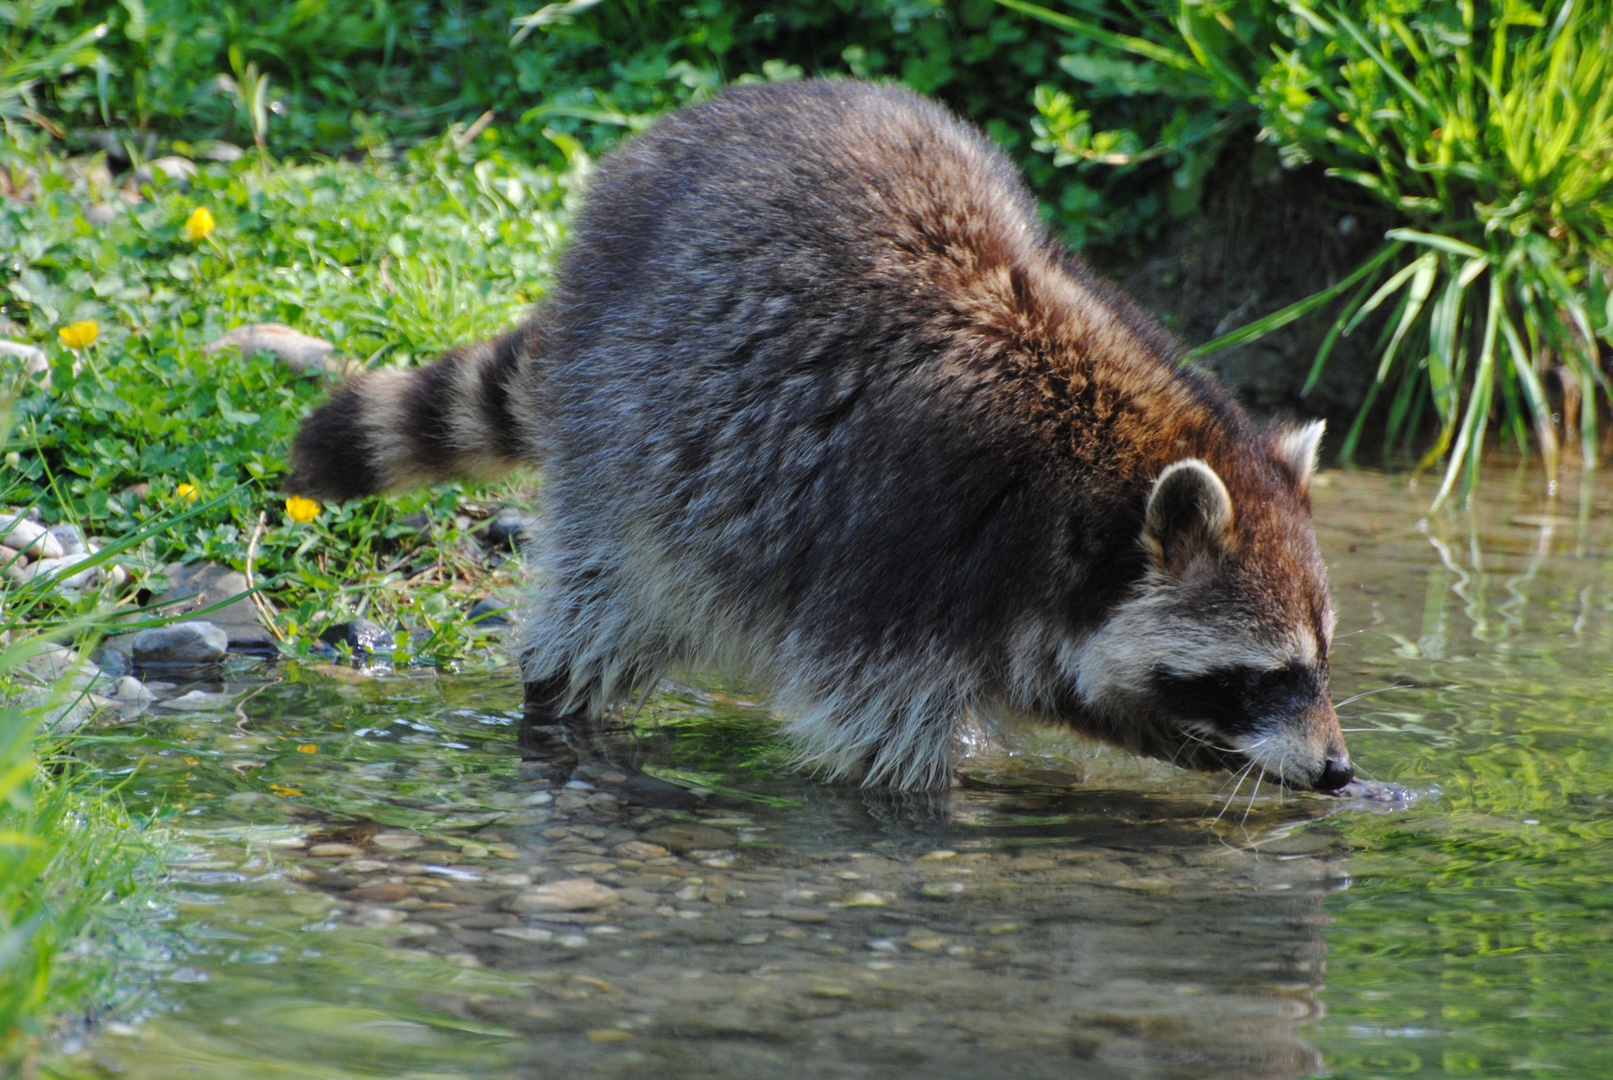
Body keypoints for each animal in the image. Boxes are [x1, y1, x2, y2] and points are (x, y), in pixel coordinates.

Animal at [287, 80, 1348, 796]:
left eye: (1321, 662)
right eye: (1264, 675)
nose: (1339, 770)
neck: (1094, 484)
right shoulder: (910, 541)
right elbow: (878, 735)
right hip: (627, 434)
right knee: (604, 606)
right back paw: (562, 708)